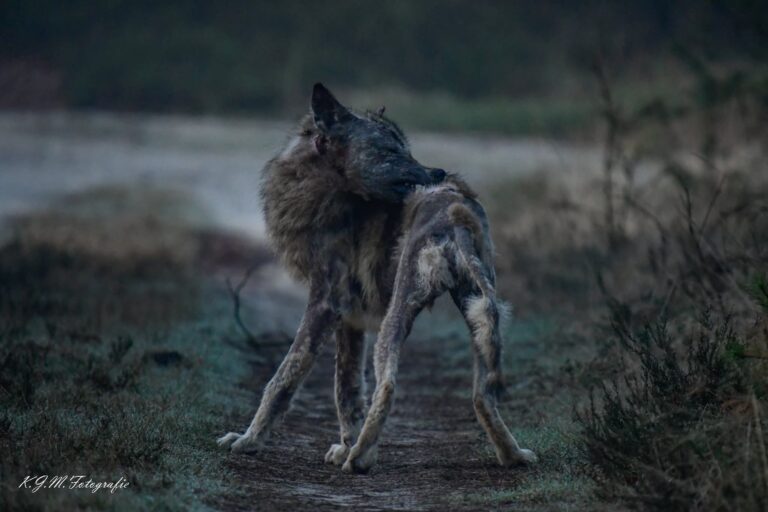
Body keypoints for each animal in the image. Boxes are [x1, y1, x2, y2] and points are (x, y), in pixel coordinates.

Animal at [217, 83, 537, 473]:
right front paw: (344, 444)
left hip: (394, 322)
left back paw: (361, 458)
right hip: (479, 320)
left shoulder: (324, 305)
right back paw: (512, 456)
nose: (439, 172)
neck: (324, 183)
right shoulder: (350, 321)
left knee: (387, 385)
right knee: (481, 396)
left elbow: (284, 377)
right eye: (391, 151)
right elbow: (348, 391)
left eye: (406, 148)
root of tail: (455, 216)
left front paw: (249, 441)